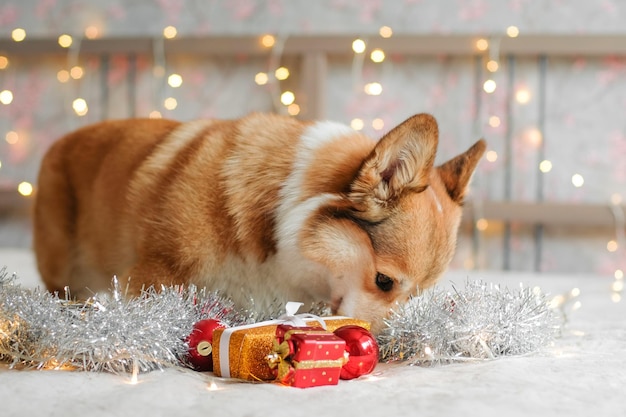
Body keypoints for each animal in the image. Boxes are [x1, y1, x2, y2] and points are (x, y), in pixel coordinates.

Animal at [33, 113, 482, 332]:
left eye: (417, 296)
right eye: (384, 281)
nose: (385, 346)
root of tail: (60, 141)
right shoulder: (153, 273)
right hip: (64, 266)